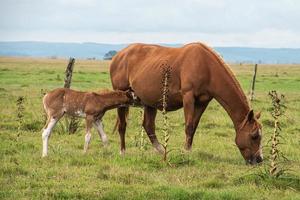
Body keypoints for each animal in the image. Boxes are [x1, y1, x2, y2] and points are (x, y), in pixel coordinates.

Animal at [109, 42, 262, 164]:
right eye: (254, 136)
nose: (259, 160)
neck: (206, 66)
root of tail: (118, 56)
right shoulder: (188, 97)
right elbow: (188, 126)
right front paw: (185, 153)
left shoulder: (202, 102)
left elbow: (193, 127)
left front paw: (187, 151)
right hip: (121, 96)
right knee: (122, 125)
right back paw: (123, 152)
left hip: (149, 102)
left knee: (148, 126)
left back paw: (161, 151)